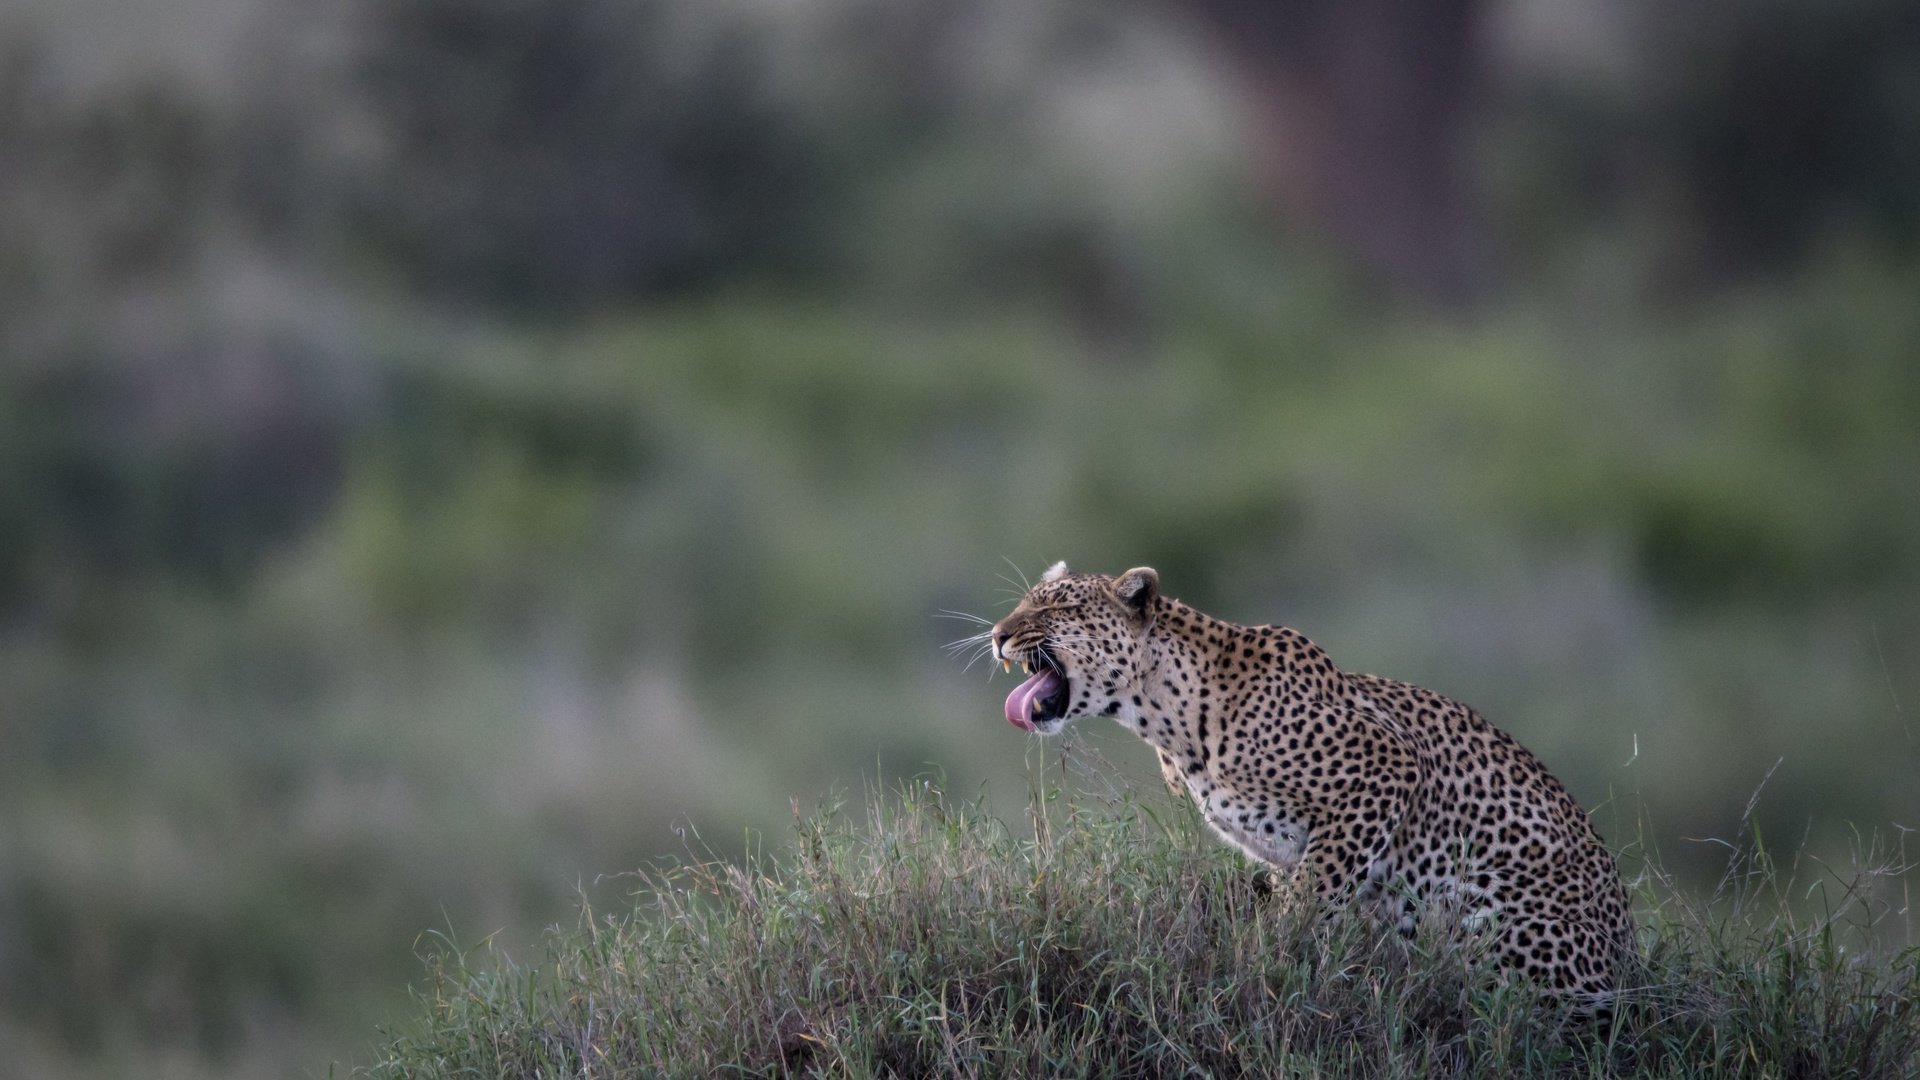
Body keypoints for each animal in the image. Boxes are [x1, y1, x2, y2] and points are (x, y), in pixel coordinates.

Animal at [990, 557, 1635, 1006]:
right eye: (1022, 603)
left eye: (1052, 611)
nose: (997, 634)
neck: (1168, 718)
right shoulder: (1284, 846)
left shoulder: (1384, 769)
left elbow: (1305, 903)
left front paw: (1267, 968)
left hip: (1497, 921)